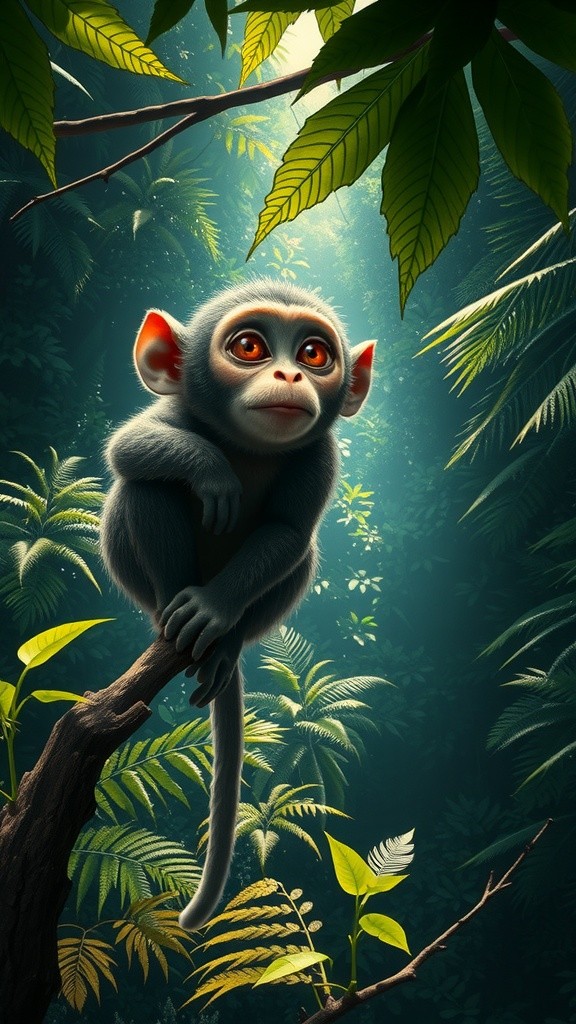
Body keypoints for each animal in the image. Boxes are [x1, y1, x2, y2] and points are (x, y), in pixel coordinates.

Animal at [100, 278, 375, 931]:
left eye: (314, 354)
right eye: (249, 346)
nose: (291, 375)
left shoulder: (320, 455)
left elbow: (288, 533)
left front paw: (216, 612)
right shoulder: (179, 412)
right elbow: (127, 448)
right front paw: (210, 471)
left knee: (301, 554)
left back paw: (222, 641)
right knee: (144, 486)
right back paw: (172, 612)